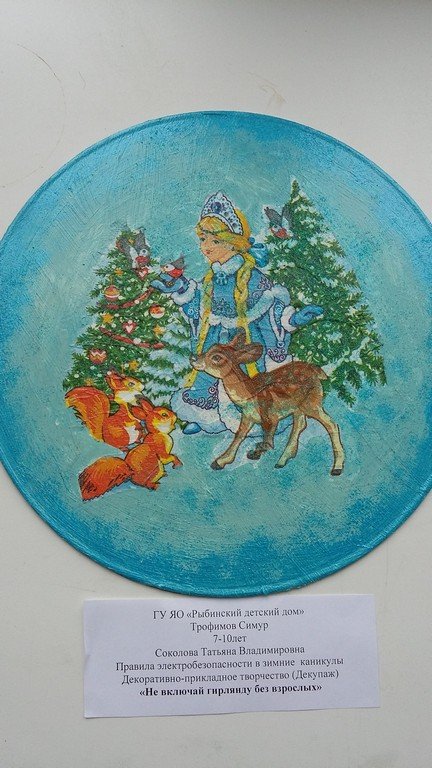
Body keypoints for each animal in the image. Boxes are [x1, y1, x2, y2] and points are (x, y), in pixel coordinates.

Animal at [190, 330, 344, 475]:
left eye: (216, 357)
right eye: (210, 347)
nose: (193, 358)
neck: (250, 394)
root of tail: (318, 372)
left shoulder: (270, 417)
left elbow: (267, 441)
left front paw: (254, 452)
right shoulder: (247, 417)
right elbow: (239, 436)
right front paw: (220, 461)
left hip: (311, 402)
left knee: (331, 424)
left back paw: (337, 468)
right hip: (298, 407)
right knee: (300, 425)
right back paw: (282, 461)